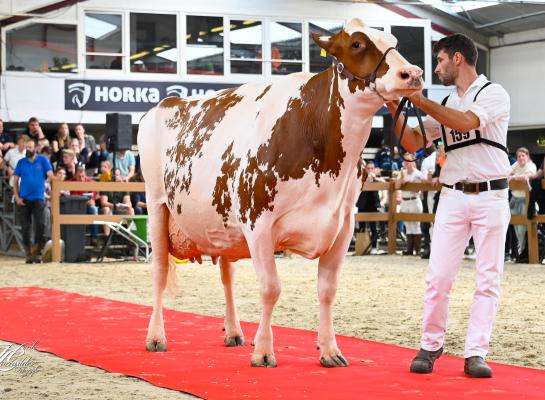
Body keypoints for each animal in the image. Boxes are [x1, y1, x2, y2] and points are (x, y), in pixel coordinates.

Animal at [138, 19, 422, 368]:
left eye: (394, 39)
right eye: (356, 43)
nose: (413, 73)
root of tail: (168, 102)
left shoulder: (342, 226)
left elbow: (327, 290)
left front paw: (330, 350)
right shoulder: (257, 221)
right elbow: (270, 289)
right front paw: (263, 351)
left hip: (221, 222)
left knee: (227, 275)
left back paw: (233, 331)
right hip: (156, 205)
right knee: (160, 272)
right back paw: (156, 337)